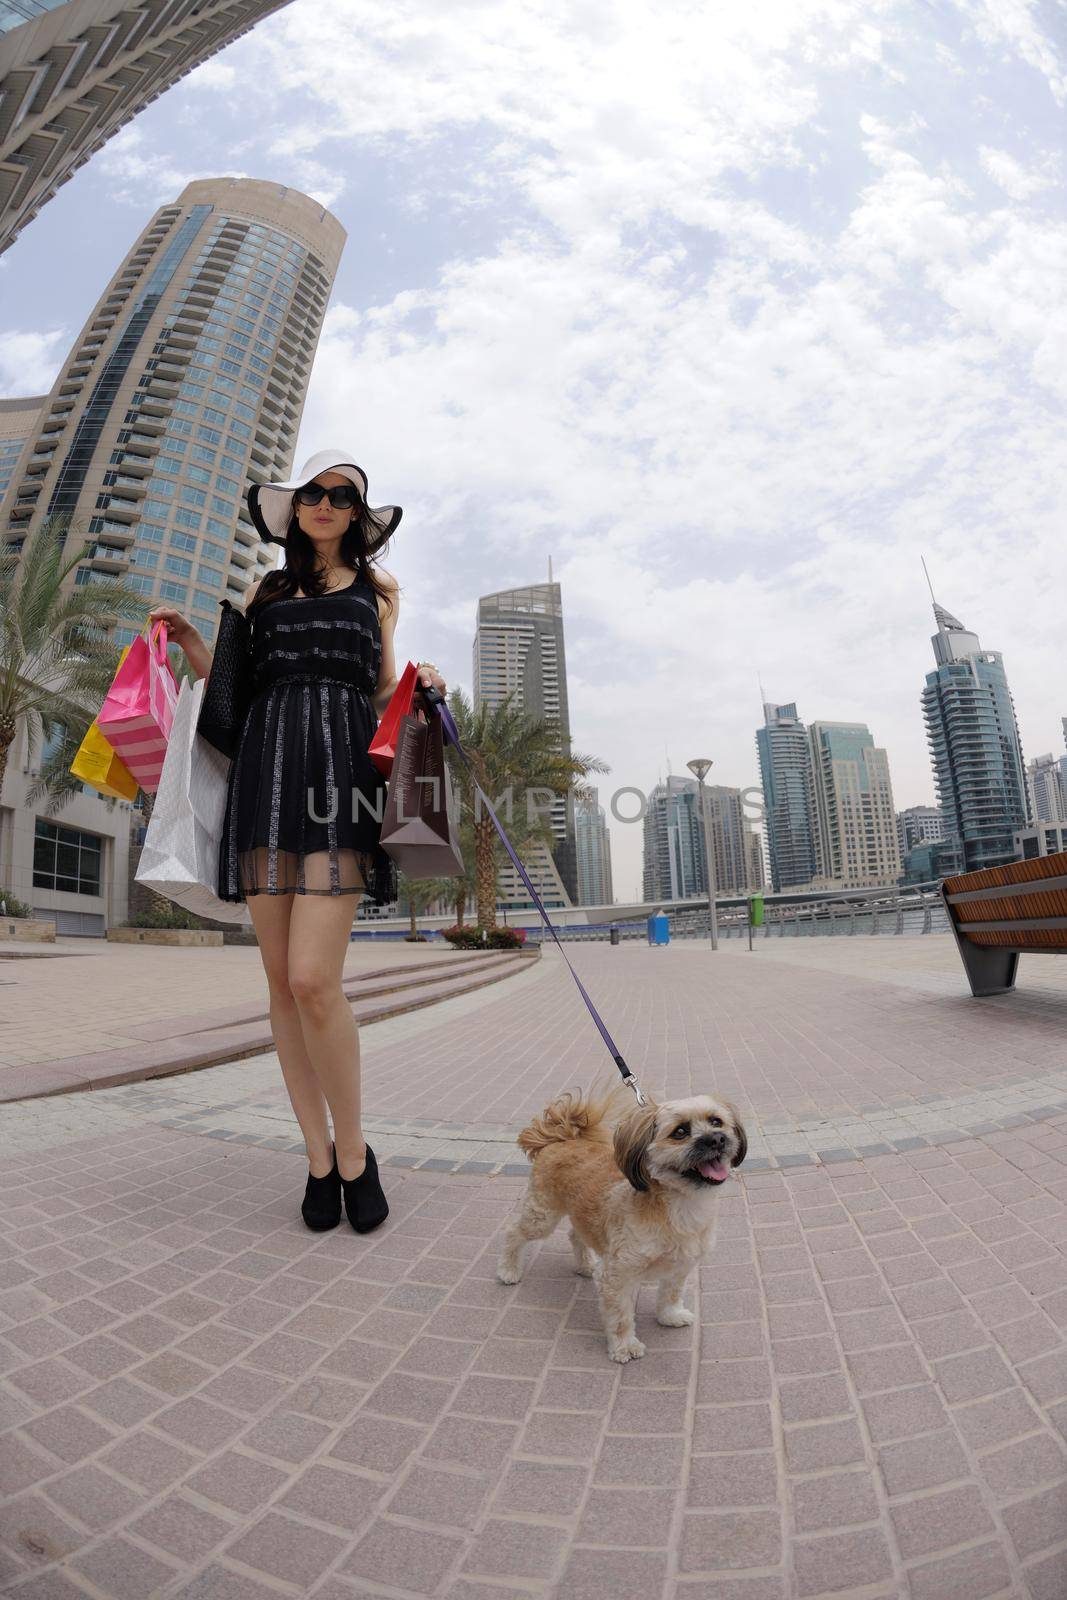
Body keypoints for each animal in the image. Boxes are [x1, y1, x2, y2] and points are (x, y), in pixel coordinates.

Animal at [495, 1075, 748, 1363]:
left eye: (716, 1121)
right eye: (680, 1132)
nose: (717, 1139)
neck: (679, 1206)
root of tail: (560, 1139)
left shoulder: (681, 1266)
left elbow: (671, 1294)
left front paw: (670, 1315)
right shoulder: (618, 1275)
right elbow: (620, 1317)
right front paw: (624, 1346)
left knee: (575, 1234)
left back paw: (584, 1265)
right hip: (542, 1217)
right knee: (514, 1231)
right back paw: (508, 1270)